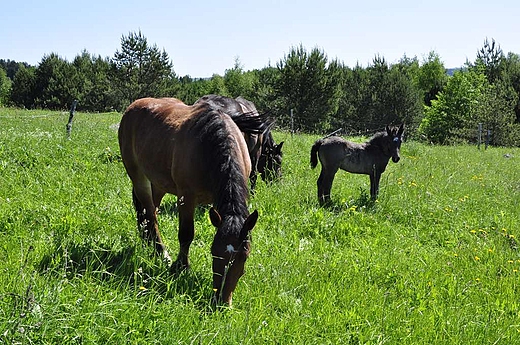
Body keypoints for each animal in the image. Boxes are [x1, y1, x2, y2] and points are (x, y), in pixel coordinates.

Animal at [117, 97, 264, 304]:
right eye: (214, 253)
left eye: (244, 256)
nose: (221, 301)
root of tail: (133, 106)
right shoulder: (186, 198)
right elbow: (186, 235)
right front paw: (181, 267)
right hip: (138, 176)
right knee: (150, 213)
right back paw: (162, 253)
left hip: (159, 183)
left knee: (150, 211)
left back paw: (149, 243)